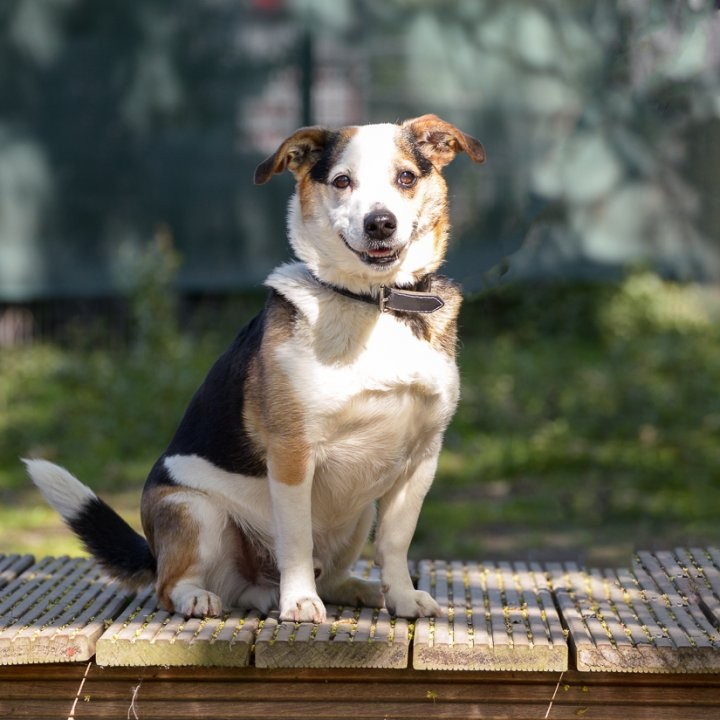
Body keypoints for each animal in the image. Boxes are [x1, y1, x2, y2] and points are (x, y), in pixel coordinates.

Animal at [23, 115, 484, 620]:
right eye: (342, 182)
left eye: (406, 177)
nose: (380, 223)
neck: (375, 302)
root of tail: (155, 548)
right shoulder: (292, 454)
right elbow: (296, 540)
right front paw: (299, 601)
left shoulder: (421, 458)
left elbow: (396, 543)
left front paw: (401, 596)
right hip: (195, 510)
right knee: (175, 584)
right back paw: (207, 596)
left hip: (358, 515)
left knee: (314, 578)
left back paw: (351, 589)